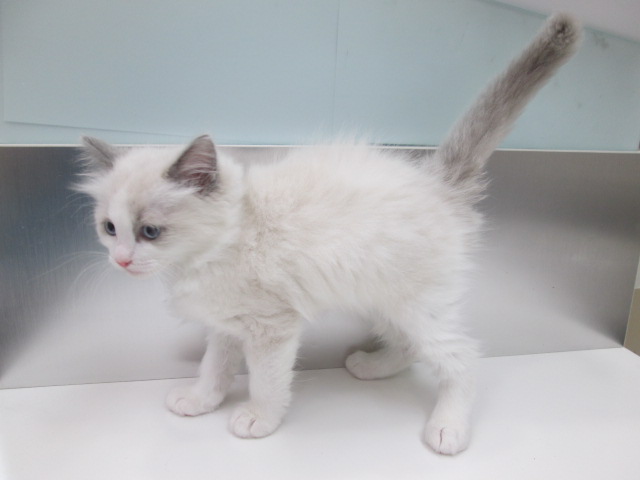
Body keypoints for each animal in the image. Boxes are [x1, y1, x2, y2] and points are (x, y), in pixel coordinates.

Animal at [76, 14, 580, 455]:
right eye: (110, 228)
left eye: (150, 231)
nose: (120, 259)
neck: (227, 239)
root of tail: (436, 181)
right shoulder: (225, 324)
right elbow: (213, 367)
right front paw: (201, 400)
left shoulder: (272, 326)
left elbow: (266, 381)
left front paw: (258, 419)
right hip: (380, 297)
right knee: (407, 345)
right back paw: (371, 367)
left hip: (418, 304)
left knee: (462, 356)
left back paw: (448, 428)